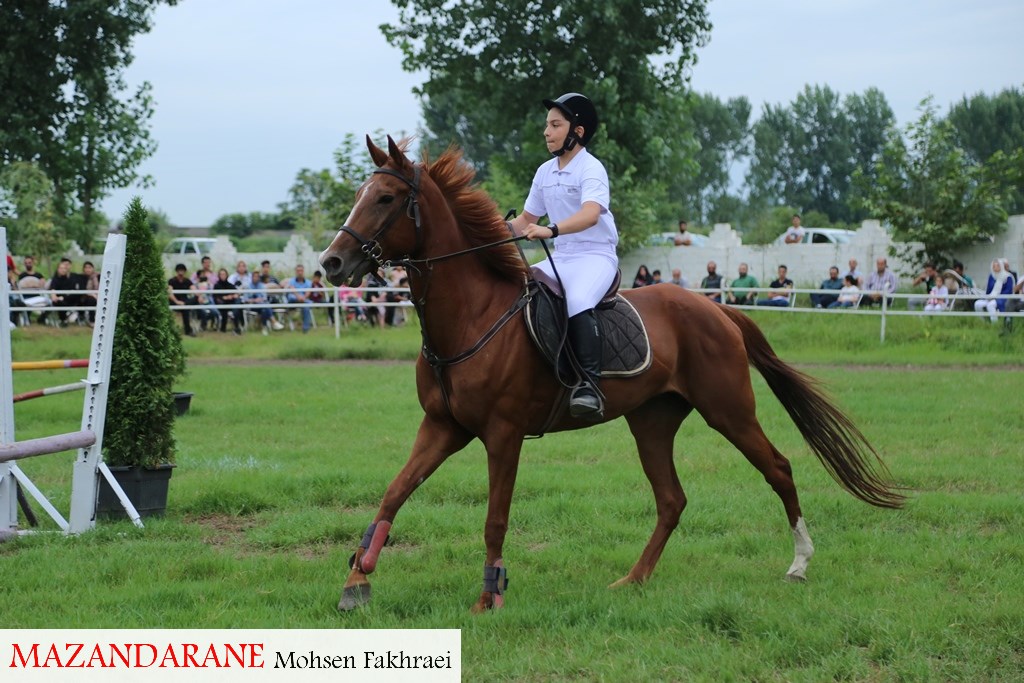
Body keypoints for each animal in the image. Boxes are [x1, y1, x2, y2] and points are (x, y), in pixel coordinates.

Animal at [321, 135, 905, 614]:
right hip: (652, 420)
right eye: (361, 194)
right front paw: (357, 580)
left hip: (729, 411)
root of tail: (715, 309)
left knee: (778, 468)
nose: (330, 264)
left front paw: (489, 597)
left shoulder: (503, 435)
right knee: (672, 499)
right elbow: (393, 494)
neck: (473, 315)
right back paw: (634, 579)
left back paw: (799, 563)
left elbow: (494, 518)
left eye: (386, 199)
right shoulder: (443, 428)